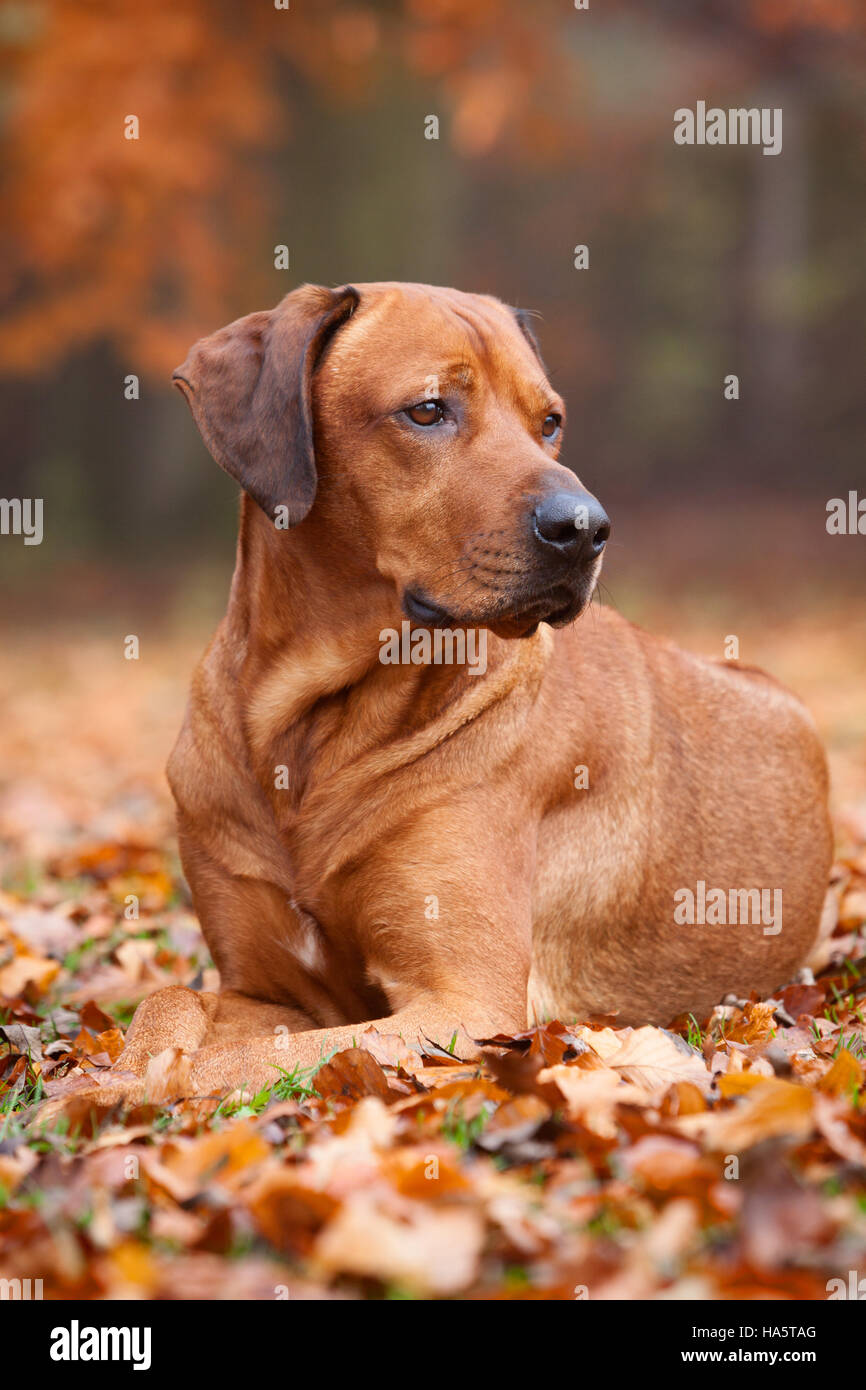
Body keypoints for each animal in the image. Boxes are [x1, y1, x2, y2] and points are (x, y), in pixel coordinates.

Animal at [71, 282, 839, 1106]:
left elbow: (231, 1065)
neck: (312, 720)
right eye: (429, 410)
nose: (587, 528)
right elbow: (168, 1002)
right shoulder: (271, 988)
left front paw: (110, 1092)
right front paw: (115, 1073)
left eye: (549, 422)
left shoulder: (464, 1003)